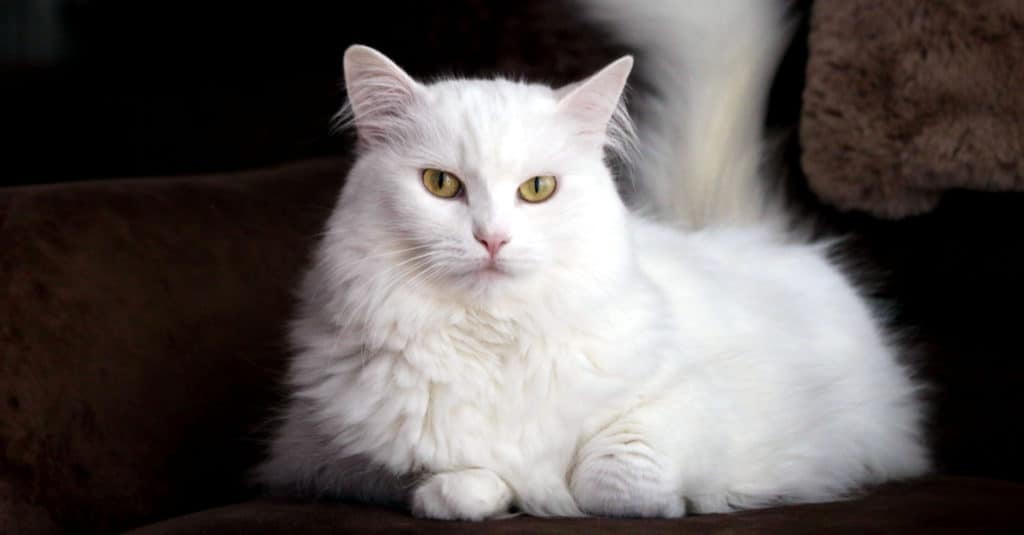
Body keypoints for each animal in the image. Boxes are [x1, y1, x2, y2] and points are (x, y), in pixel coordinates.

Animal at [256, 0, 929, 516]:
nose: (492, 238)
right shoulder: (319, 456)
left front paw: (674, 503)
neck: (491, 339)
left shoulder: (696, 402)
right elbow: (450, 482)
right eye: (441, 185)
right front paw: (489, 494)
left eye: (537, 189)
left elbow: (615, 477)